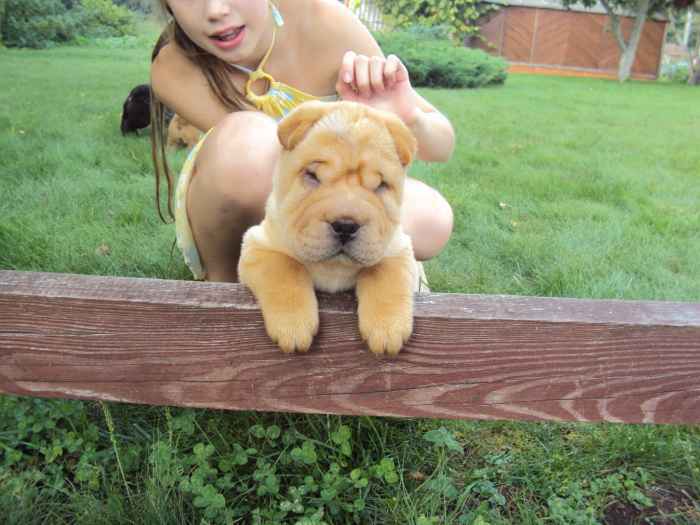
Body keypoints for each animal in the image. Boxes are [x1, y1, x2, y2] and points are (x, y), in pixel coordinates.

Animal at [238, 101, 424, 356]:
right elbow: (285, 268)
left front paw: (387, 330)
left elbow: (384, 273)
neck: (333, 267)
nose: (346, 225)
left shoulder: (397, 248)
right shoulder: (259, 245)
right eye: (312, 175)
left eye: (380, 185)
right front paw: (293, 327)